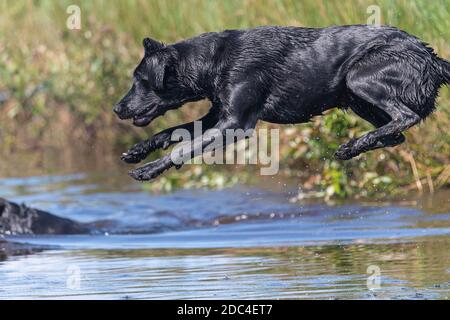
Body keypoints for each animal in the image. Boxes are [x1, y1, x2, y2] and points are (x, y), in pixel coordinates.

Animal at [114, 25, 448, 181]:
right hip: (356, 99)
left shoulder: (236, 124)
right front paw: (137, 151)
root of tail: (431, 56)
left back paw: (350, 146)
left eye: (140, 80)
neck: (214, 61)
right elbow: (169, 133)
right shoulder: (217, 115)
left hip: (359, 78)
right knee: (395, 135)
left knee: (405, 117)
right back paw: (353, 147)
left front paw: (148, 170)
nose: (118, 108)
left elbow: (183, 148)